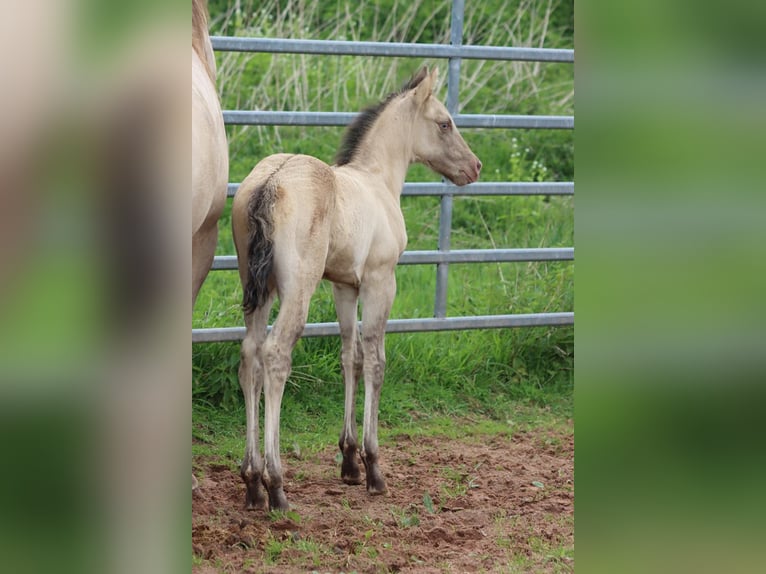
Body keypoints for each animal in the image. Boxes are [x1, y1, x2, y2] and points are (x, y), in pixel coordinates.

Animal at [232, 66, 482, 511]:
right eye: (444, 123)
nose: (475, 167)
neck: (377, 182)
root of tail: (269, 185)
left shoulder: (344, 286)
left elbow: (350, 356)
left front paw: (348, 460)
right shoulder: (382, 281)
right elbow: (376, 361)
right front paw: (373, 466)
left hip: (256, 289)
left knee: (250, 358)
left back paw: (252, 481)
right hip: (297, 289)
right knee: (275, 355)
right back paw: (276, 485)